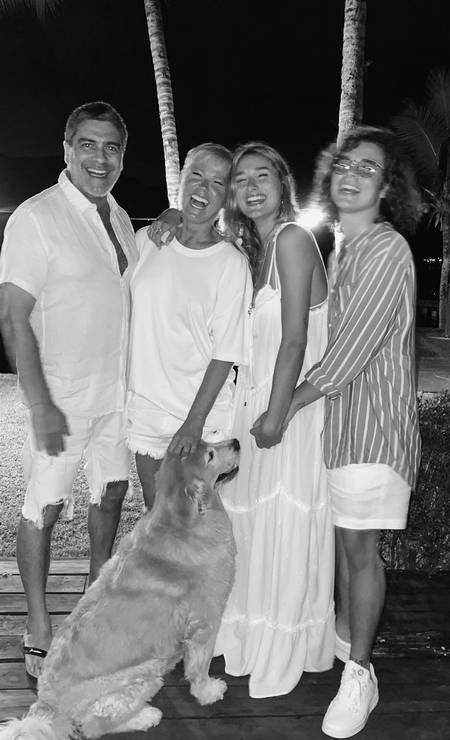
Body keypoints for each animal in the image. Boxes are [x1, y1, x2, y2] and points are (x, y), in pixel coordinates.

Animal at [0, 438, 239, 739]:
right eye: (210, 455)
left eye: (208, 442)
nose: (237, 442)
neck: (178, 524)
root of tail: (49, 708)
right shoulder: (204, 623)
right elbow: (199, 667)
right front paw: (208, 691)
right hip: (144, 672)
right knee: (95, 724)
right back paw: (146, 716)